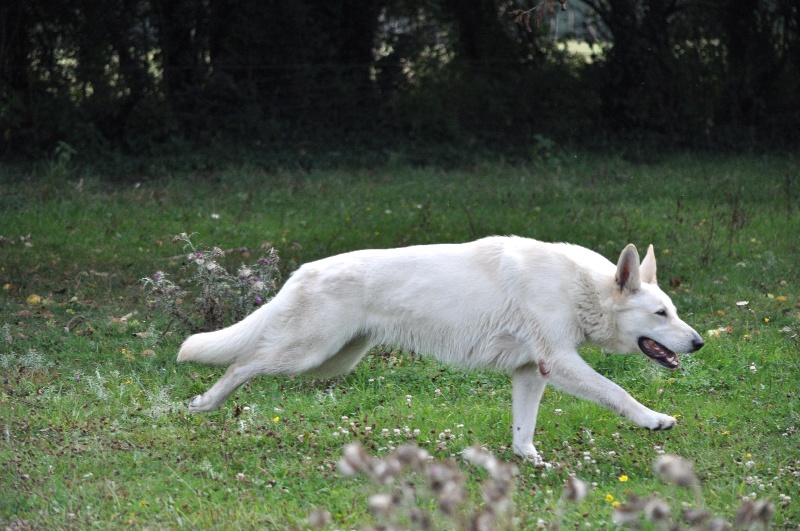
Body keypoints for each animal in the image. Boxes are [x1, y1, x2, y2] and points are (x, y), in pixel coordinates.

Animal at [178, 239, 704, 464]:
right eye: (661, 314)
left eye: (674, 312)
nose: (699, 342)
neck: (581, 289)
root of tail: (302, 270)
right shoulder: (560, 364)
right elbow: (619, 393)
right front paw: (654, 420)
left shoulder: (531, 372)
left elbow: (523, 431)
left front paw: (528, 461)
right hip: (304, 355)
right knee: (242, 364)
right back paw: (204, 404)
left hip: (331, 362)